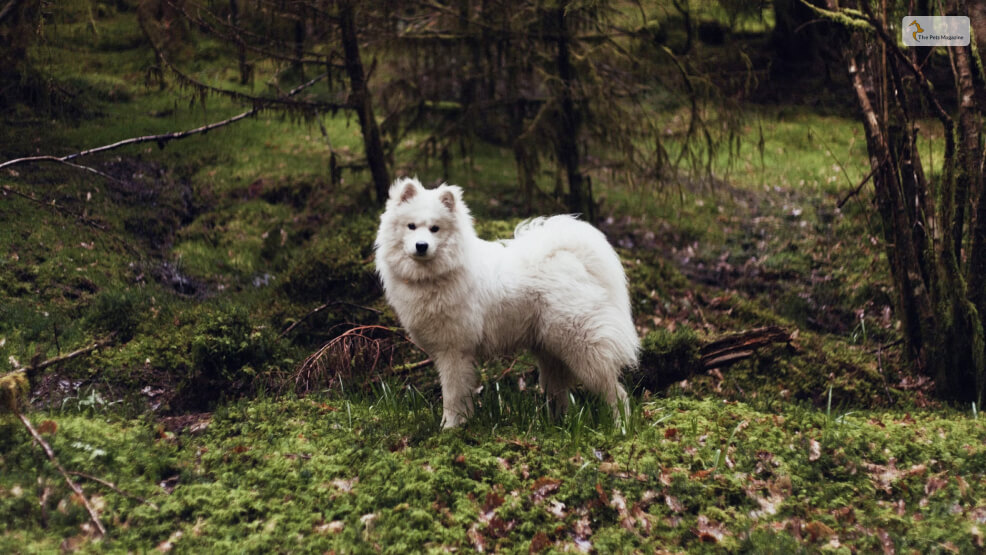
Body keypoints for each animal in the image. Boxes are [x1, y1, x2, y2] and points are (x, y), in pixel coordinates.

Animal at [370, 178, 640, 430]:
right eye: (411, 226)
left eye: (435, 229)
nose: (421, 246)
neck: (436, 275)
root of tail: (574, 260)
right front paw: (462, 423)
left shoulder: (454, 351)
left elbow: (452, 395)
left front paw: (450, 428)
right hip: (550, 353)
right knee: (560, 395)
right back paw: (556, 426)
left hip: (582, 348)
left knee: (616, 393)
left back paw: (621, 427)